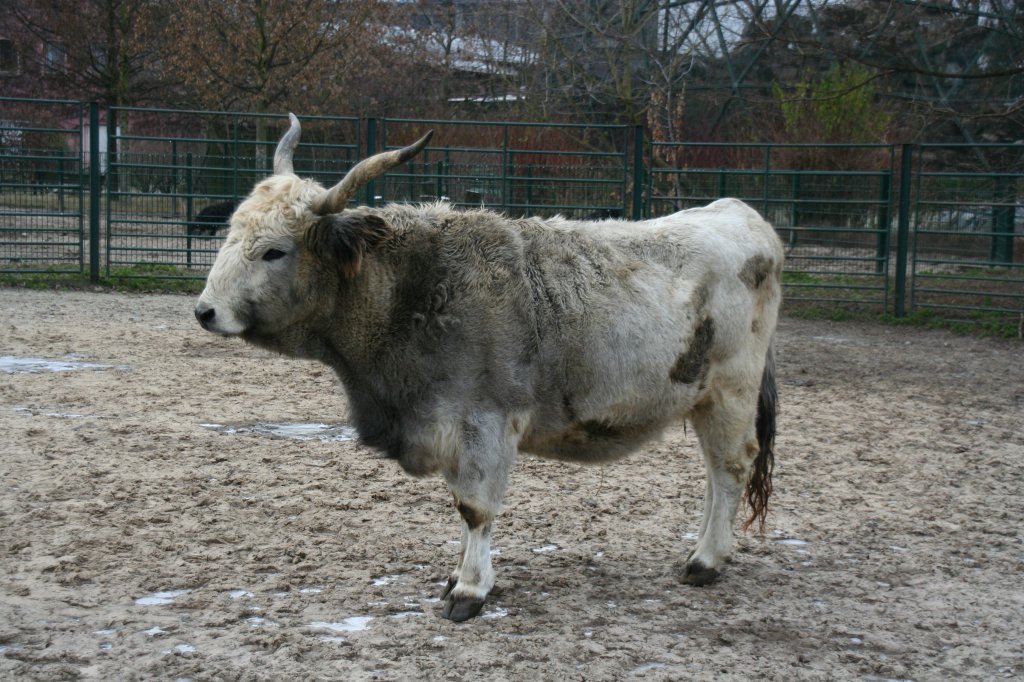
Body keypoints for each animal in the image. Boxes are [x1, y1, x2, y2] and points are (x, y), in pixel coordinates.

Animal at [193, 112, 782, 622]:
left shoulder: (484, 424)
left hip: (730, 391)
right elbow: (460, 504)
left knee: (731, 467)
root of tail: (740, 214)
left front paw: (471, 590)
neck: (411, 292)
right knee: (712, 474)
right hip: (701, 397)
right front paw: (458, 576)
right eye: (230, 233)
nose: (205, 311)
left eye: (274, 251)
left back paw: (707, 560)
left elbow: (475, 508)